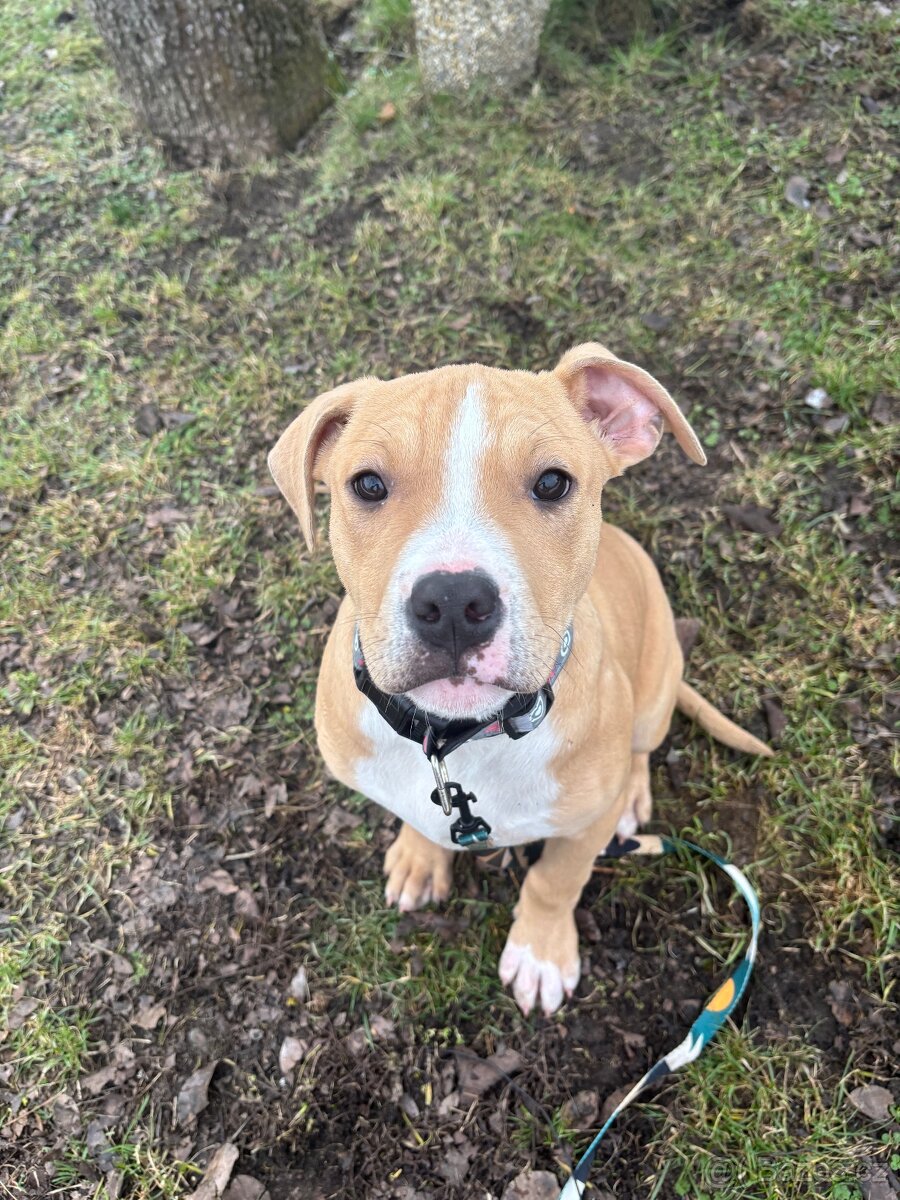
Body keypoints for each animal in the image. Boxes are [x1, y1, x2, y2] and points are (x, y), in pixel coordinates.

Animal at [269, 342, 771, 1016]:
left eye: (553, 482)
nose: (454, 601)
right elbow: (415, 818)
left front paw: (540, 953)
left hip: (654, 689)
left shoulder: (582, 829)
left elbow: (555, 881)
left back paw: (634, 798)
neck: (460, 739)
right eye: (368, 485)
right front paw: (420, 857)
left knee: (641, 749)